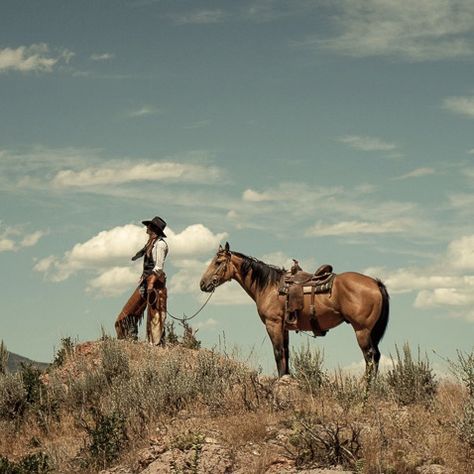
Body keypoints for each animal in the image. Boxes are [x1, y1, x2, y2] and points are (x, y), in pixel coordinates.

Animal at [200, 243, 388, 380]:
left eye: (218, 262)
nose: (203, 284)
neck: (270, 287)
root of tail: (375, 283)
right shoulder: (284, 327)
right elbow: (286, 354)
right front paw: (286, 378)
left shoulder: (273, 324)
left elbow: (278, 353)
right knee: (376, 357)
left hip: (362, 330)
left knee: (370, 357)